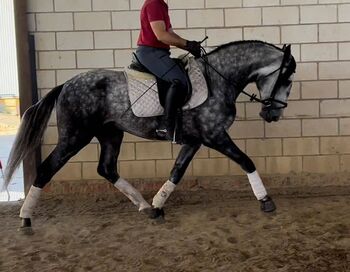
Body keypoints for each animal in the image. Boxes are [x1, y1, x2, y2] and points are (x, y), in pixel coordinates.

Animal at [4, 40, 296, 232]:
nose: (273, 114)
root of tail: (65, 84)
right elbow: (246, 161)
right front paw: (266, 201)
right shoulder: (215, 135)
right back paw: (25, 218)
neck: (219, 80)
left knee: (107, 169)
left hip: (110, 134)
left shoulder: (195, 140)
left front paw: (157, 206)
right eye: (287, 79)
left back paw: (144, 207)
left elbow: (176, 172)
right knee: (46, 169)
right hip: (75, 137)